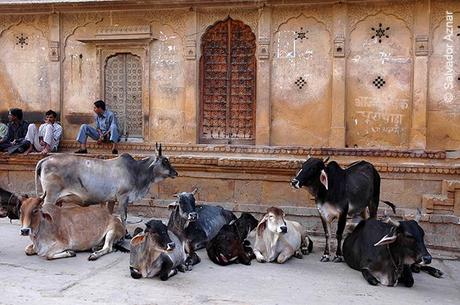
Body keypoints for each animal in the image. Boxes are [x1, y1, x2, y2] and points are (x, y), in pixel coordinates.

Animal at [34, 142, 177, 223]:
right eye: (165, 161)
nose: (175, 173)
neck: (136, 170)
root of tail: (46, 159)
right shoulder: (123, 197)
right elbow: (123, 217)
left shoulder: (111, 200)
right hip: (51, 196)